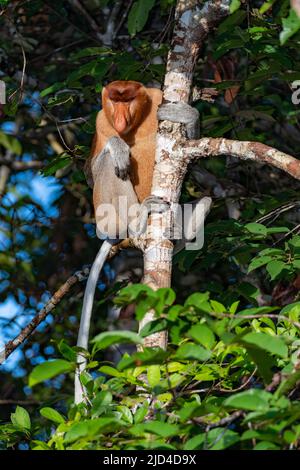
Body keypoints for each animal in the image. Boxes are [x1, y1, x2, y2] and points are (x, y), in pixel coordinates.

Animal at [74, 81, 204, 404]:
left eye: (128, 99)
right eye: (114, 100)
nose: (120, 120)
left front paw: (187, 116)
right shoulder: (101, 121)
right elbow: (92, 172)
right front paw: (119, 146)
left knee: (207, 199)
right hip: (105, 216)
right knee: (108, 165)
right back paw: (137, 218)